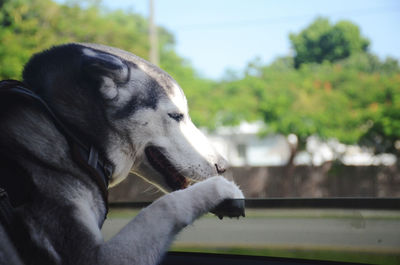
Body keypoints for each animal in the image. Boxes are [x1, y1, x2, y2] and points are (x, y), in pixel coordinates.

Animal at [0, 43, 244, 264]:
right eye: (176, 116)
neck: (72, 132)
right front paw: (222, 188)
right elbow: (165, 205)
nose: (223, 166)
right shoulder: (97, 257)